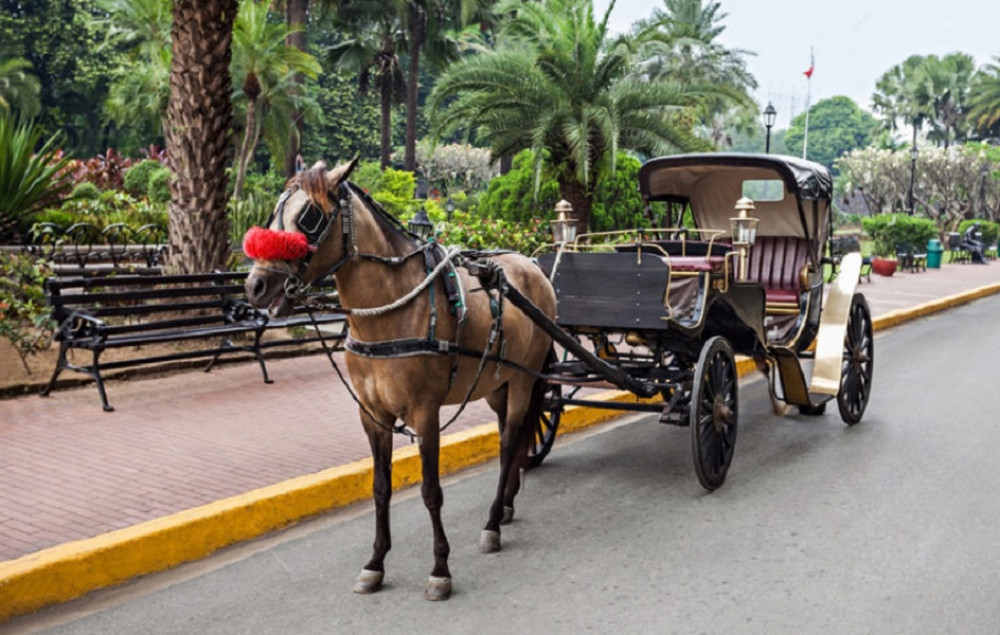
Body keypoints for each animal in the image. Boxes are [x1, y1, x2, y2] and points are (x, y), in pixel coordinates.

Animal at [240, 160, 556, 600]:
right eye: (274, 212)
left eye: (310, 216)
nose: (255, 286)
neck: (389, 311)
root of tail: (533, 267)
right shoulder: (372, 414)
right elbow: (380, 488)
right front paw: (375, 563)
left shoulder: (425, 412)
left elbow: (430, 491)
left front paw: (440, 568)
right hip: (498, 383)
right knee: (514, 432)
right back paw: (507, 504)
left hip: (525, 379)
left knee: (510, 443)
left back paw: (493, 522)